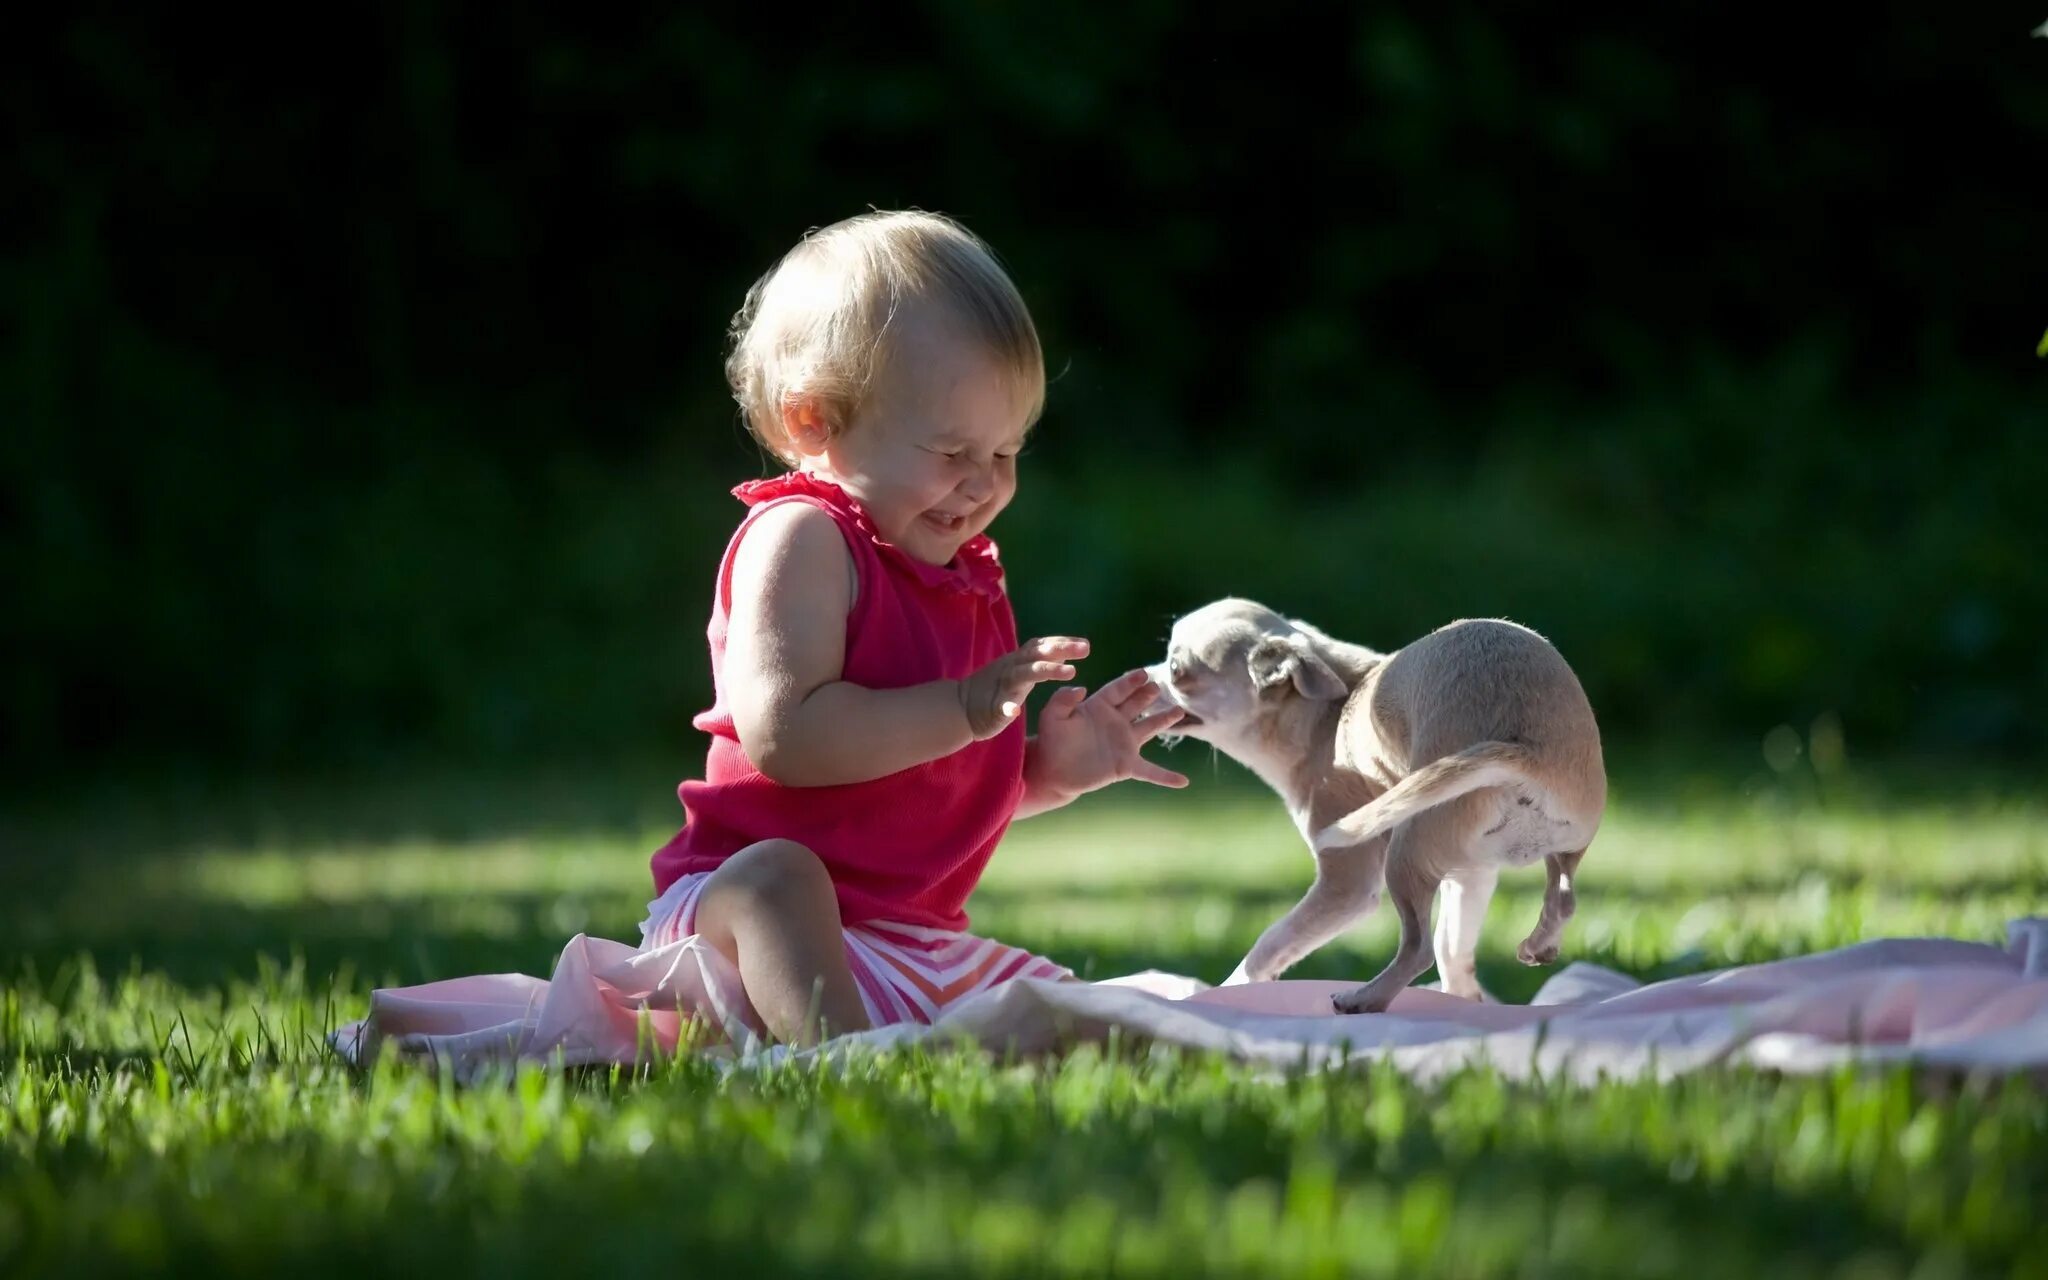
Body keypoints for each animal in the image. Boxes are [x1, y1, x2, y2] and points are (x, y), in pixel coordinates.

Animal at [1146, 598, 1605, 1007]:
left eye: (1175, 670)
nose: (1142, 676)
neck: (1326, 714)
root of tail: (1526, 752)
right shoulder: (1472, 873)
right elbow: (1454, 948)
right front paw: (1466, 999)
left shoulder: (1346, 886)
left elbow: (1271, 942)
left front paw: (1230, 988)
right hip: (1560, 841)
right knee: (1562, 896)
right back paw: (1539, 943)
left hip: (1405, 852)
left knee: (1418, 949)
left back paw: (1364, 999)